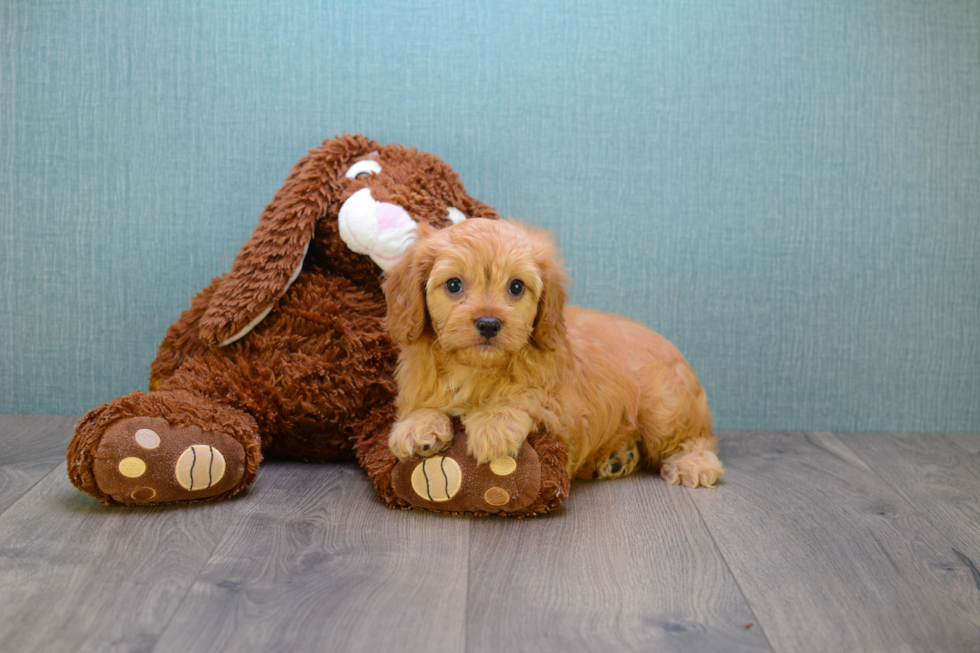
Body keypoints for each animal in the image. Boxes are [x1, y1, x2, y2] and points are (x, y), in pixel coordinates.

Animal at [378, 222, 724, 486]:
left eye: (517, 287)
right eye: (453, 285)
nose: (489, 323)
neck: (477, 370)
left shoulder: (564, 414)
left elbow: (527, 397)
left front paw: (493, 425)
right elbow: (423, 405)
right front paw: (416, 427)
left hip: (664, 406)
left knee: (697, 438)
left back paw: (693, 463)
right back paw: (618, 458)